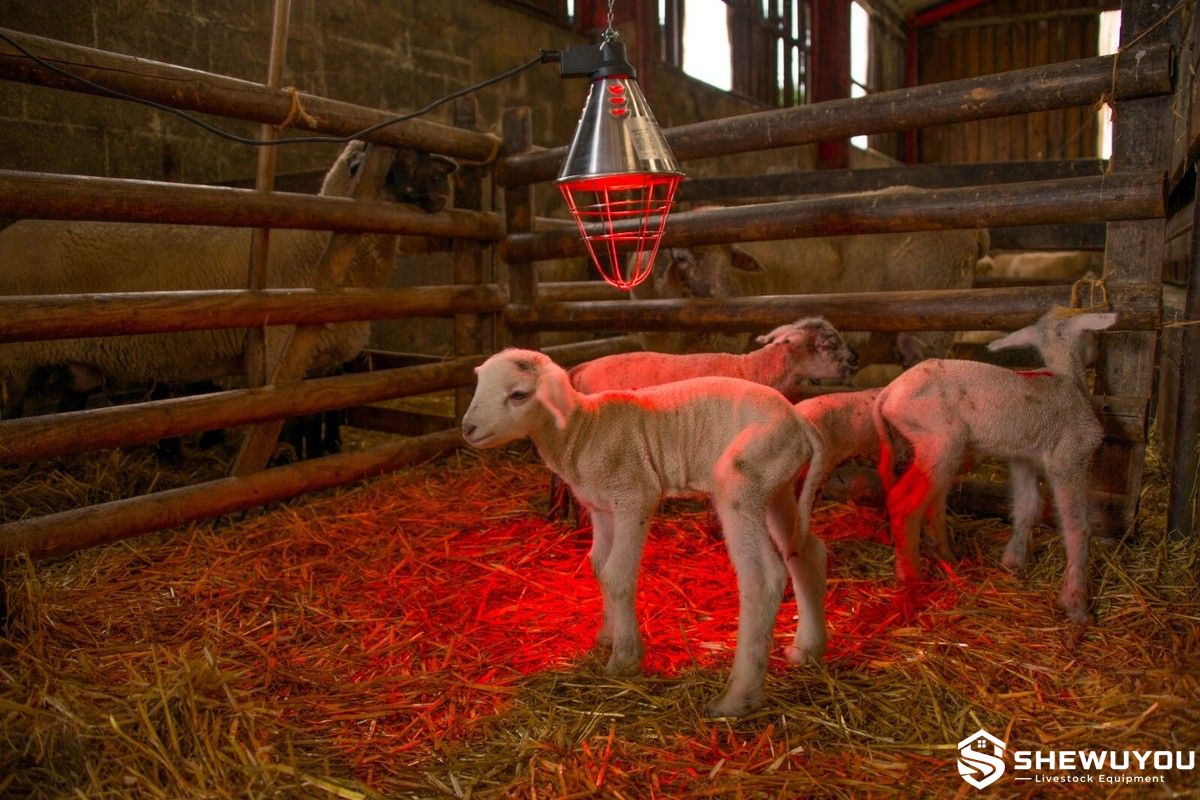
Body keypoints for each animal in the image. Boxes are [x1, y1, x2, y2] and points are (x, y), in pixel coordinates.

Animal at [0, 142, 457, 421]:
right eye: (400, 156)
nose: (445, 178)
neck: (319, 245)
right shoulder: (276, 355)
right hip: (13, 363)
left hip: (66, 366)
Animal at [462, 349, 828, 717]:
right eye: (479, 383)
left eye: (519, 394)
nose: (467, 429)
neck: (582, 430)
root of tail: (798, 421)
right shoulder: (602, 508)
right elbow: (599, 566)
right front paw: (606, 637)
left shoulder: (633, 496)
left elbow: (617, 574)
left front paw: (624, 659)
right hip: (775, 485)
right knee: (806, 553)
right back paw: (808, 650)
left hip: (742, 482)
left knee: (762, 577)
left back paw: (737, 697)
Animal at [872, 309, 1117, 622]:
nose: (1096, 350)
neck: (1066, 378)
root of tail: (887, 395)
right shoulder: (1070, 457)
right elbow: (1077, 528)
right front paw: (1075, 604)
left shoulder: (1023, 458)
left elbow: (1027, 508)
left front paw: (1013, 562)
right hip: (939, 439)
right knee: (904, 503)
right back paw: (912, 581)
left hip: (926, 444)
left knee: (931, 503)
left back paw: (948, 559)